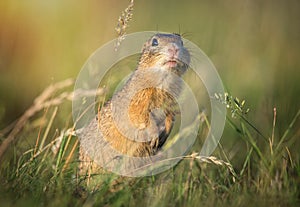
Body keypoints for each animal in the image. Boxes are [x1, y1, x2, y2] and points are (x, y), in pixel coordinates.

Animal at [77, 33, 190, 175]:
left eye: (181, 41)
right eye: (154, 42)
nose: (174, 48)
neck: (164, 82)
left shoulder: (171, 103)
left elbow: (170, 117)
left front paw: (165, 134)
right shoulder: (138, 101)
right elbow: (142, 117)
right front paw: (154, 136)